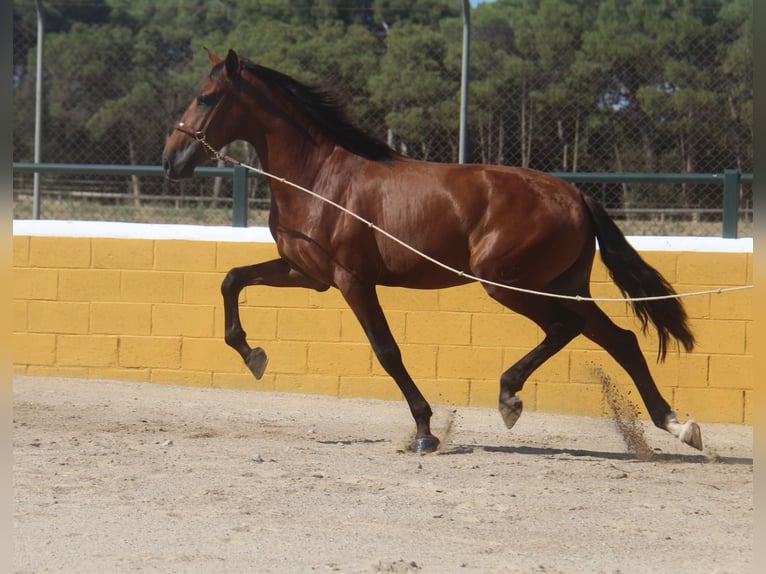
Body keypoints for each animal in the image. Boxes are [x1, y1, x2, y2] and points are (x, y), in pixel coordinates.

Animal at [165, 49, 704, 454]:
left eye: (206, 97)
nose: (171, 160)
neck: (321, 178)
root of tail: (574, 194)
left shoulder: (351, 280)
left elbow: (387, 351)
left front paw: (425, 431)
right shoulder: (307, 272)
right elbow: (232, 278)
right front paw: (252, 354)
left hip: (507, 282)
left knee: (565, 328)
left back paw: (510, 397)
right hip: (562, 285)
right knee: (621, 340)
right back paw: (677, 425)